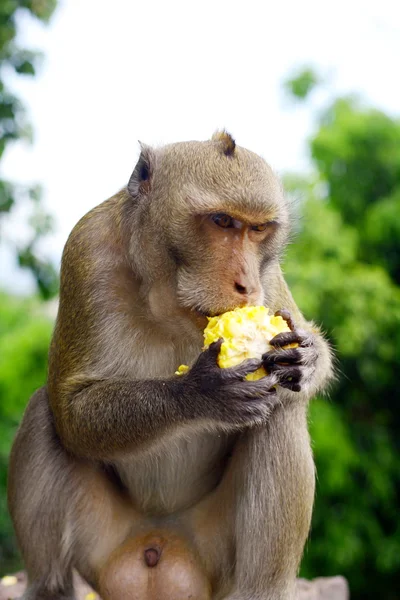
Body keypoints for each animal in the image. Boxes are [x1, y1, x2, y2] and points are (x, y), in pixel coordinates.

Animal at [8, 132, 334, 600]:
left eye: (257, 229)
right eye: (221, 222)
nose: (245, 285)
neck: (169, 302)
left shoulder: (268, 275)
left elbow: (304, 356)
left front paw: (305, 356)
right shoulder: (87, 251)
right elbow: (71, 411)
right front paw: (199, 393)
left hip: (214, 556)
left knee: (281, 411)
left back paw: (264, 590)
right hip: (104, 542)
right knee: (42, 411)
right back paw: (48, 588)